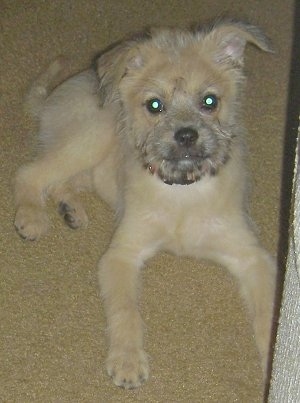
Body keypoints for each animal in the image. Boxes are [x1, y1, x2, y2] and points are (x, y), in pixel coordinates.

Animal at [14, 20, 276, 390]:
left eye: (209, 101)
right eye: (154, 105)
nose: (186, 136)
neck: (182, 193)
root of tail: (57, 94)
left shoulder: (253, 258)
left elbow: (269, 312)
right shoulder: (121, 255)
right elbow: (126, 311)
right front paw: (127, 360)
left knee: (62, 181)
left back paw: (70, 209)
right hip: (93, 135)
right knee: (31, 174)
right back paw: (31, 216)